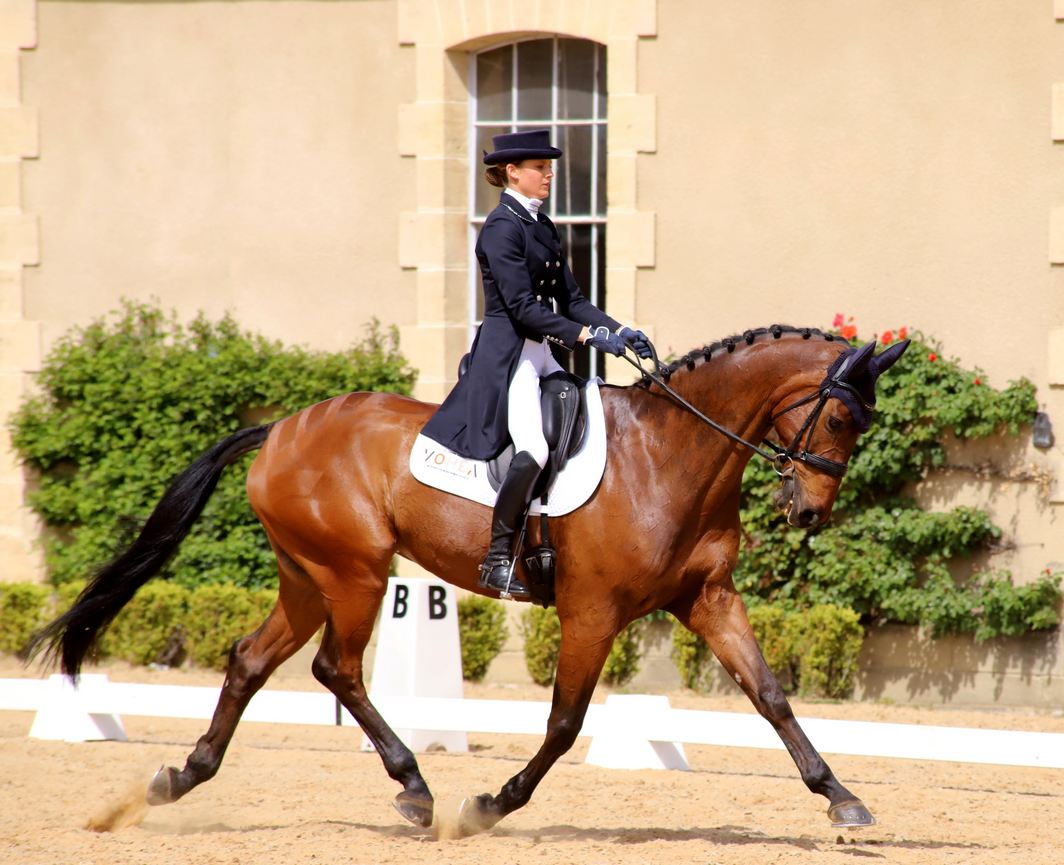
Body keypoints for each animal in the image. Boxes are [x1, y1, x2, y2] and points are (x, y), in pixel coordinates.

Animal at [29, 325, 906, 838]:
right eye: (838, 417)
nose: (807, 510)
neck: (671, 454)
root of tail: (278, 427)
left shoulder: (709, 599)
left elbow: (771, 695)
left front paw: (842, 797)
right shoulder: (592, 611)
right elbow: (564, 722)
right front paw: (489, 803)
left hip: (308, 576)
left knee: (249, 659)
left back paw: (179, 778)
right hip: (355, 572)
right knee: (335, 668)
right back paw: (415, 788)